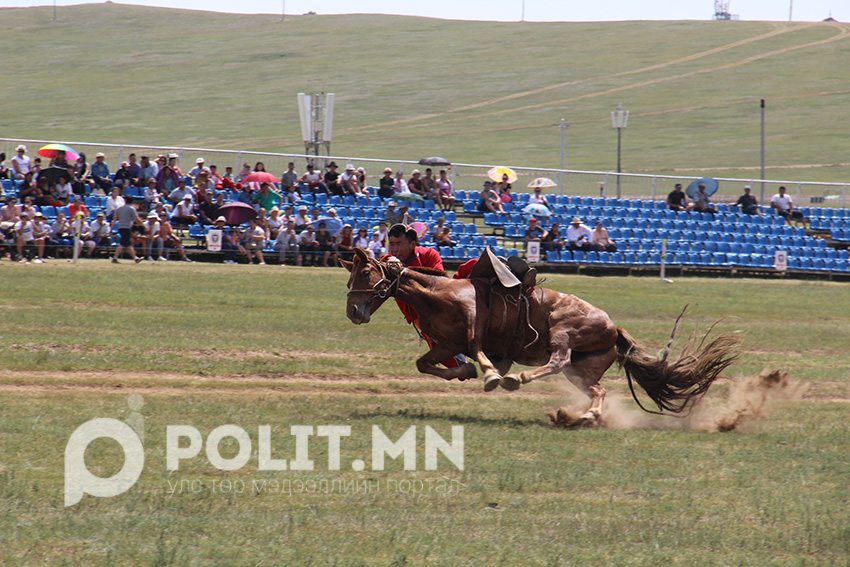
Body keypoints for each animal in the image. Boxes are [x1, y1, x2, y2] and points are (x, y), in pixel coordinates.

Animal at [340, 250, 736, 426]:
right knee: (597, 390)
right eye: (349, 277)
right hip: (582, 371)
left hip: (563, 331)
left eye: (365, 272)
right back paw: (584, 416)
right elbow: (425, 363)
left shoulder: (472, 330)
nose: (354, 312)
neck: (440, 292)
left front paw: (492, 376)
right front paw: (464, 373)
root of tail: (614, 329)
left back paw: (519, 379)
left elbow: (480, 354)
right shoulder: (449, 344)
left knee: (557, 360)